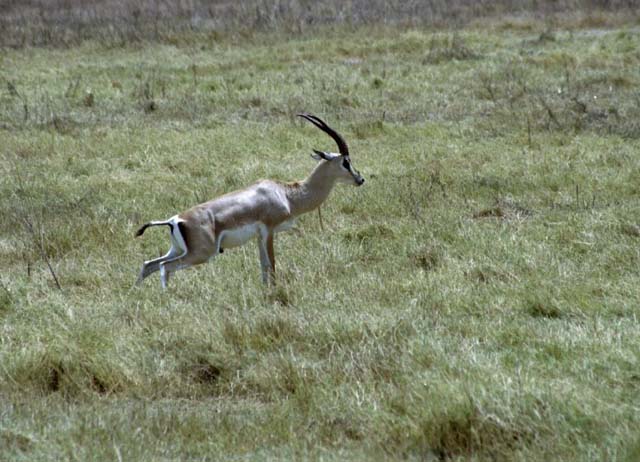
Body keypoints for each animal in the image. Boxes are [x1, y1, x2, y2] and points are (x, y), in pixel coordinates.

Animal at [135, 113, 365, 288]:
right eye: (346, 161)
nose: (360, 179)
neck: (286, 194)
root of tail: (175, 220)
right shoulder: (268, 231)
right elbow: (271, 265)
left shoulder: (258, 237)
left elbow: (263, 267)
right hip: (201, 254)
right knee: (165, 267)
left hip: (178, 250)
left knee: (149, 264)